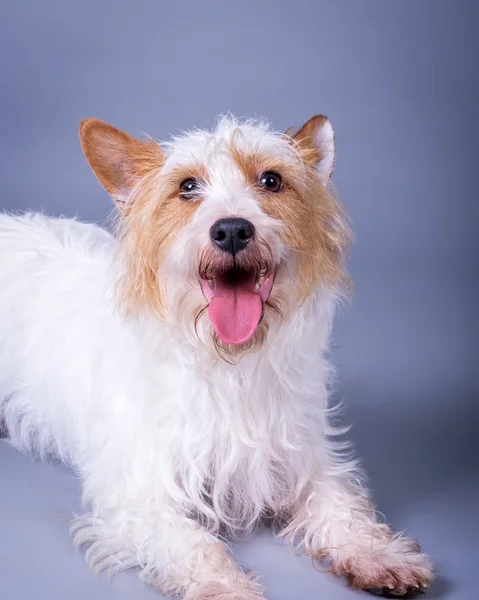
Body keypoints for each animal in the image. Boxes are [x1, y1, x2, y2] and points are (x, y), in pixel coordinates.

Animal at [0, 115, 436, 596]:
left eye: (271, 180)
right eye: (188, 187)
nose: (231, 230)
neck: (229, 361)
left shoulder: (305, 462)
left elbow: (342, 508)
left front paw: (377, 555)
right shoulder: (140, 497)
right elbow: (193, 543)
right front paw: (226, 586)